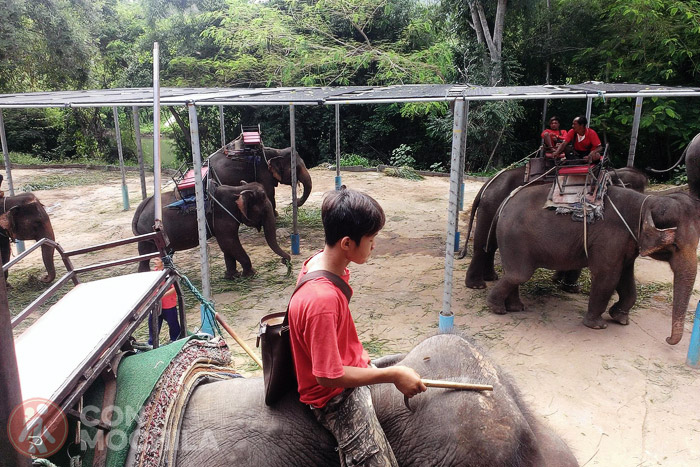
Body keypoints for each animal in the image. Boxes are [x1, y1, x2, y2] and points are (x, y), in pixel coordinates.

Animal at [133, 182, 288, 278]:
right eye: (264, 210)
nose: (285, 261)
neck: (238, 189)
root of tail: (140, 207)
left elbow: (226, 246)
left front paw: (232, 276)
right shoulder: (222, 216)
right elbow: (229, 242)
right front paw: (250, 274)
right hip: (148, 233)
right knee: (146, 254)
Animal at [460, 165, 652, 288]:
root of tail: (488, 183)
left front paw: (559, 281)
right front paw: (570, 286)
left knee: (489, 245)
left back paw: (490, 278)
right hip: (492, 205)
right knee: (483, 244)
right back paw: (477, 285)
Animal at [486, 134, 700, 344]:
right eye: (674, 245)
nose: (667, 339)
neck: (644, 202)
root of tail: (507, 201)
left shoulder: (626, 243)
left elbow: (625, 277)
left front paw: (620, 318)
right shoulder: (609, 240)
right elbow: (607, 277)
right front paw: (597, 325)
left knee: (514, 274)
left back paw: (515, 307)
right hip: (514, 238)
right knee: (519, 274)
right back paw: (497, 309)